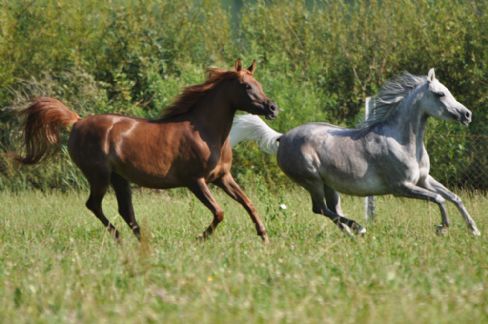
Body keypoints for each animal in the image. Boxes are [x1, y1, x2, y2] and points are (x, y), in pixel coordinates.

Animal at [16, 60, 278, 243]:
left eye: (260, 85)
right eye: (246, 86)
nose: (272, 108)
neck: (205, 132)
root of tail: (77, 122)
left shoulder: (223, 177)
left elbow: (248, 203)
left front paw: (265, 237)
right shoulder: (195, 181)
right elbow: (220, 212)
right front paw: (199, 238)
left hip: (119, 178)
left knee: (125, 211)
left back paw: (141, 240)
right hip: (99, 176)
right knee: (94, 205)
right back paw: (120, 238)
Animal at [232, 69, 480, 235]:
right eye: (440, 94)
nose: (467, 114)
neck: (402, 142)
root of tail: (282, 137)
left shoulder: (423, 179)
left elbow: (453, 197)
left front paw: (473, 229)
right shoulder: (402, 187)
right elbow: (439, 198)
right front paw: (442, 228)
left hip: (329, 185)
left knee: (332, 210)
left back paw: (351, 233)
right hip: (312, 181)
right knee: (320, 209)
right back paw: (358, 228)